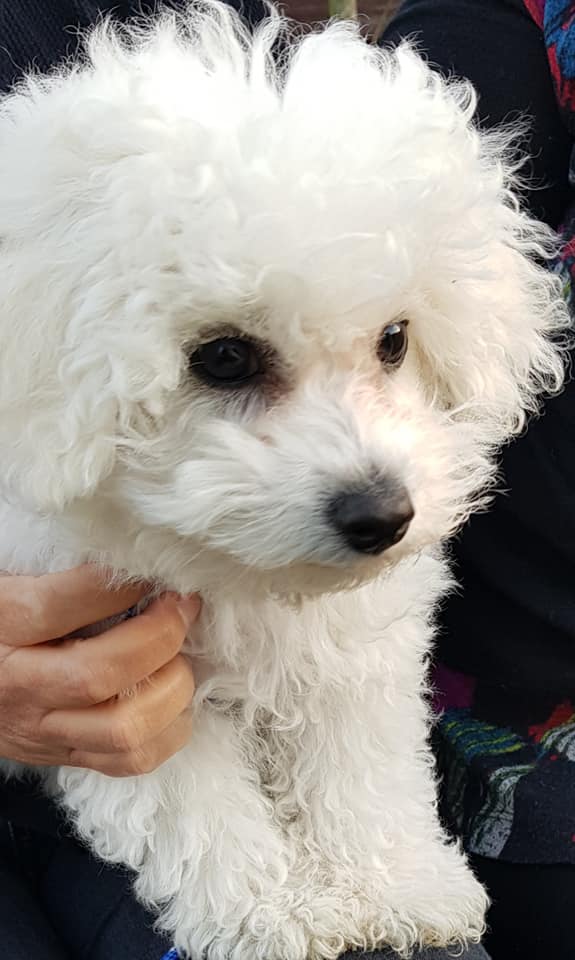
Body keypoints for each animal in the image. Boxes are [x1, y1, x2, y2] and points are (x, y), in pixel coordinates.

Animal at [0, 4, 568, 958]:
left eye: (393, 339)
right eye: (223, 357)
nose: (382, 515)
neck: (236, 576)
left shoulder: (352, 642)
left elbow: (361, 755)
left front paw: (394, 883)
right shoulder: (110, 682)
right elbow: (186, 804)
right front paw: (270, 914)